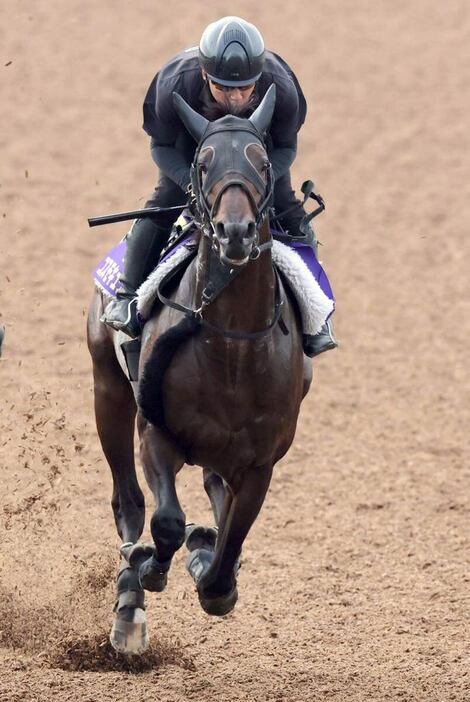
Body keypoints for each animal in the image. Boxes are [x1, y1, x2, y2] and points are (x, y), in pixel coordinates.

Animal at [88, 86, 314, 656]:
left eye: (261, 163)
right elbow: (165, 522)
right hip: (108, 390)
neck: (232, 347)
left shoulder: (259, 464)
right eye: (204, 162)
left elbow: (228, 549)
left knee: (213, 489)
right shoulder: (156, 431)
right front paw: (152, 565)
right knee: (128, 502)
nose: (235, 232)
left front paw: (210, 563)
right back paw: (129, 609)